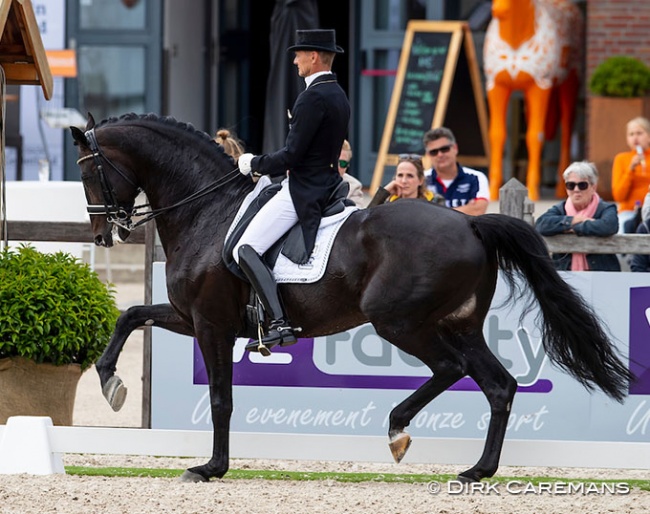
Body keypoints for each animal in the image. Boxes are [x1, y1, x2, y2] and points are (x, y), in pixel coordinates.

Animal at [72, 112, 632, 480]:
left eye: (87, 170)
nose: (102, 235)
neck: (206, 210)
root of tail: (472, 226)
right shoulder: (191, 317)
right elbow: (131, 313)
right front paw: (110, 382)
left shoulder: (211, 324)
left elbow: (220, 398)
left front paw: (211, 467)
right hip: (459, 324)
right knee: (498, 385)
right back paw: (477, 470)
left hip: (399, 321)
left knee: (450, 369)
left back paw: (399, 430)